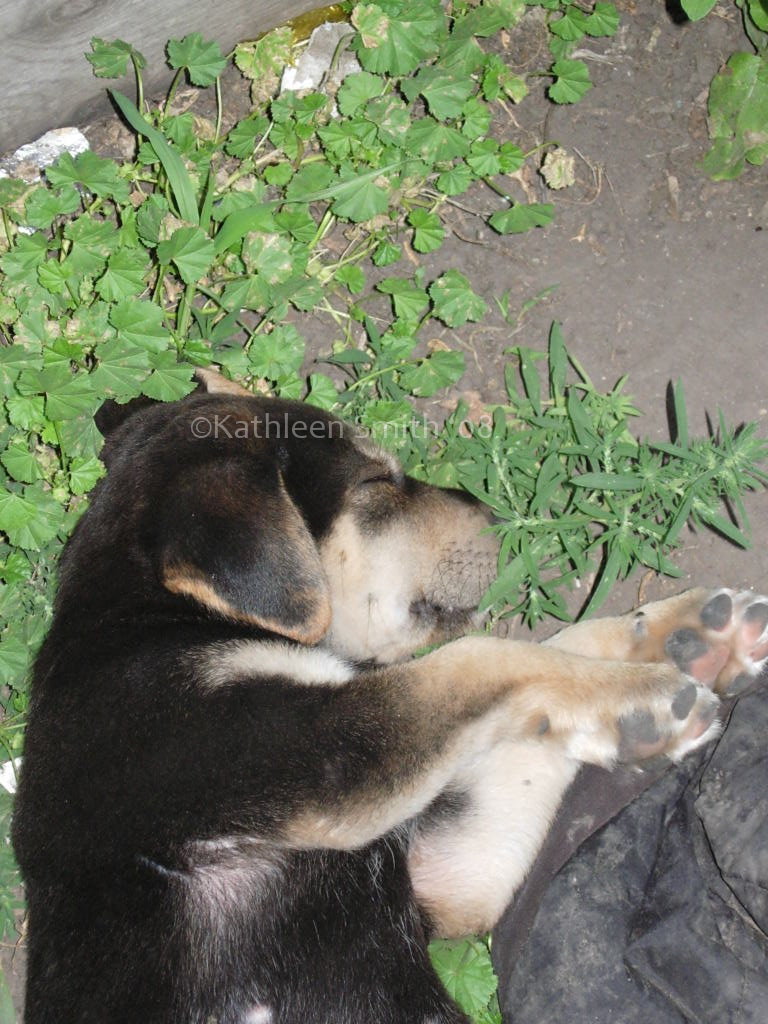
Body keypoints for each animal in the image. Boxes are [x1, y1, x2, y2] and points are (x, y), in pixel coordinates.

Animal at [12, 372, 768, 1024]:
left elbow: (551, 654)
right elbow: (481, 659)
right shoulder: (311, 754)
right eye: (376, 480)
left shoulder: (448, 870)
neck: (154, 618)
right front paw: (645, 695)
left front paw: (686, 639)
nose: (497, 513)